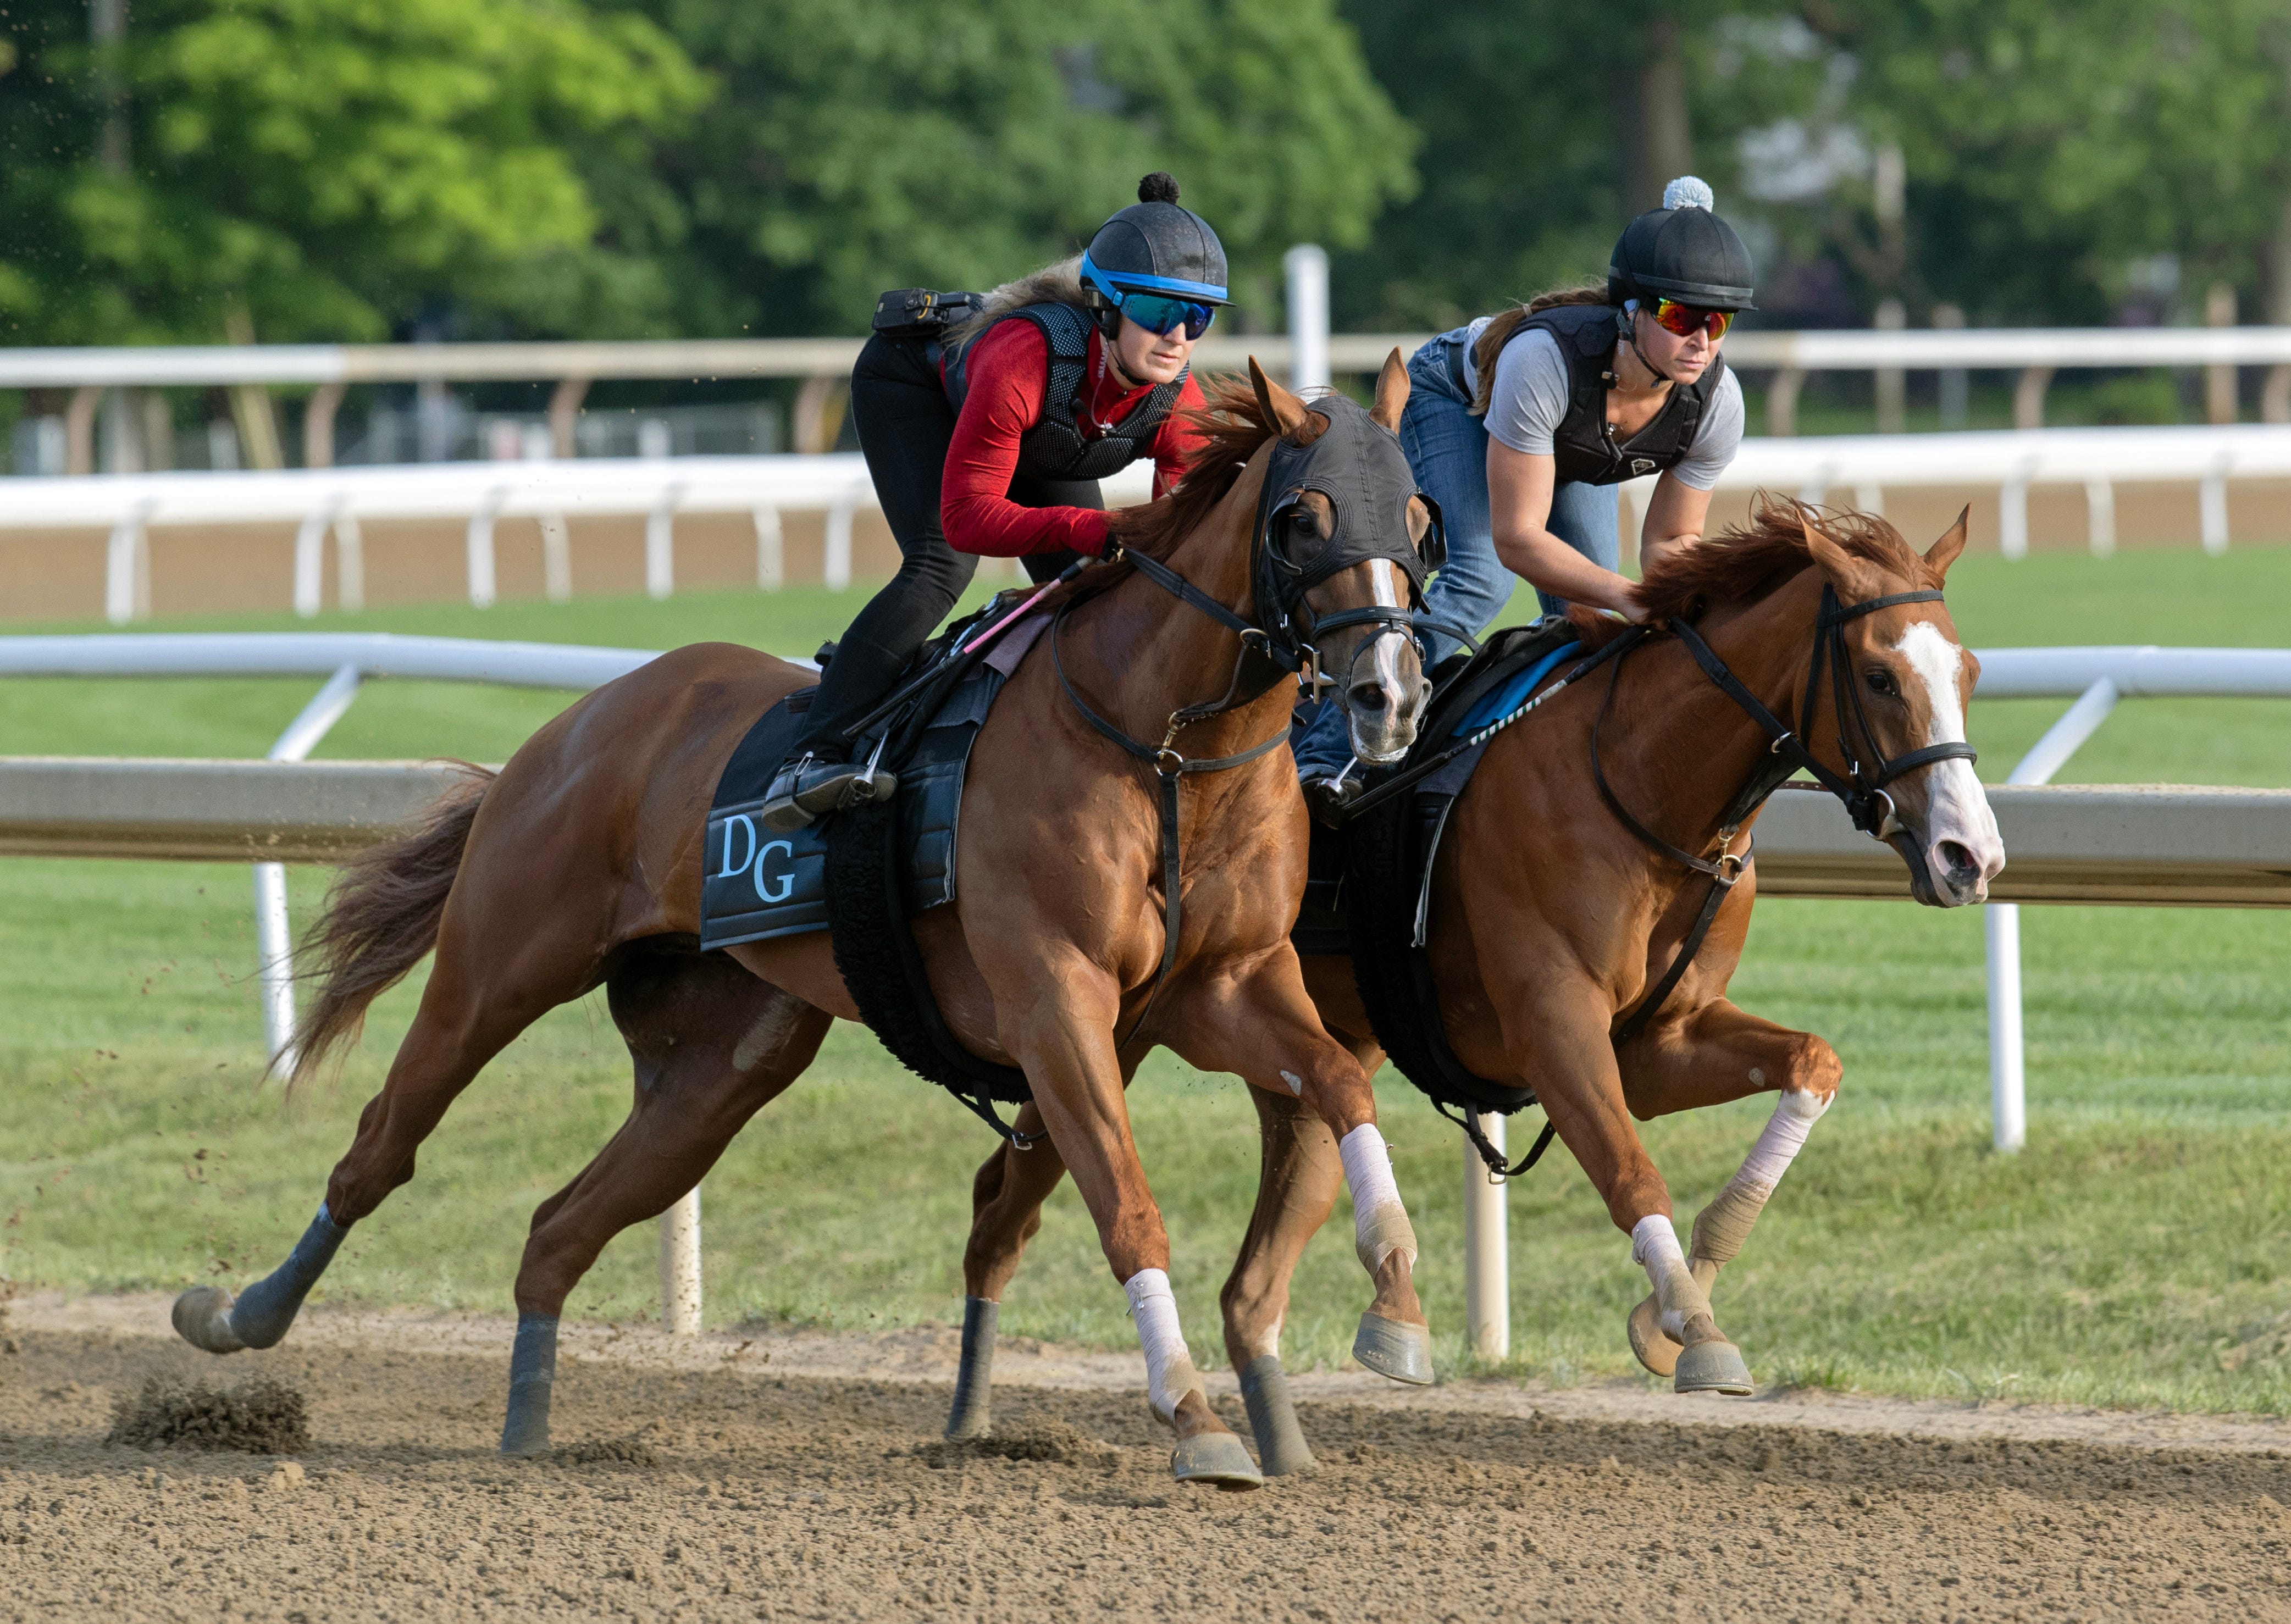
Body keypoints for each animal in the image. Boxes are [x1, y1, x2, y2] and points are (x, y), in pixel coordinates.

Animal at [174, 355, 1448, 1484]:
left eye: (1420, 517)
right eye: (1301, 519)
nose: (1390, 696)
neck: (1165, 748)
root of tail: (575, 724)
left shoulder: (1219, 986)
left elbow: (1342, 1081)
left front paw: (1396, 1305)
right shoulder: (1057, 1000)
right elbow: (1128, 1209)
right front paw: (1192, 1419)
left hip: (719, 1067)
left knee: (556, 1228)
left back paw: (526, 1424)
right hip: (500, 965)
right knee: (383, 1143)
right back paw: (239, 1315)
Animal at [939, 499, 1997, 1466]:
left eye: (1970, 673)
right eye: (1878, 675)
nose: (1970, 856)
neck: (1638, 781)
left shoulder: (1660, 1039)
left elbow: (1812, 1062)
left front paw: (1680, 1295)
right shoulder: (1555, 1025)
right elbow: (1627, 1166)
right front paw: (1695, 1332)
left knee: (1240, 1274)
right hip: (1093, 1026)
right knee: (1003, 1206)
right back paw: (975, 1416)